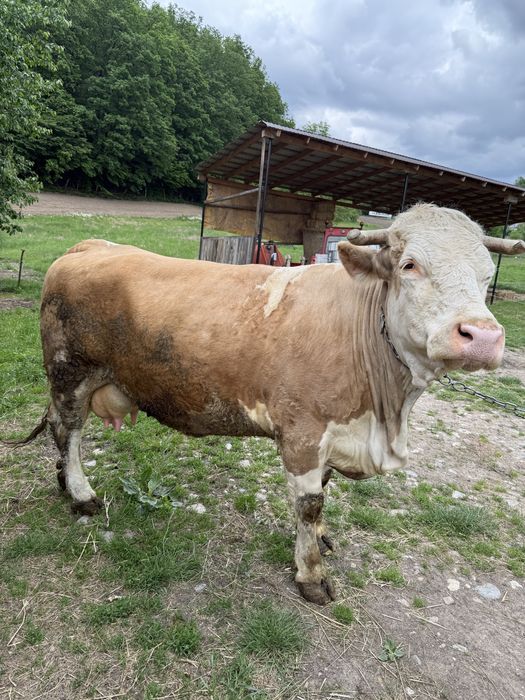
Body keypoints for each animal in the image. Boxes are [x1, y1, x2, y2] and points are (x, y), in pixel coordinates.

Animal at [14, 204, 525, 605]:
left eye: (486, 275)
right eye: (410, 265)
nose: (482, 336)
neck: (384, 415)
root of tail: (89, 246)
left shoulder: (331, 435)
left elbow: (323, 491)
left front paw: (320, 539)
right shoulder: (302, 430)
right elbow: (310, 502)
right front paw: (311, 575)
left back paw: (63, 483)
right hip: (70, 372)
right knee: (69, 432)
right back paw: (81, 494)